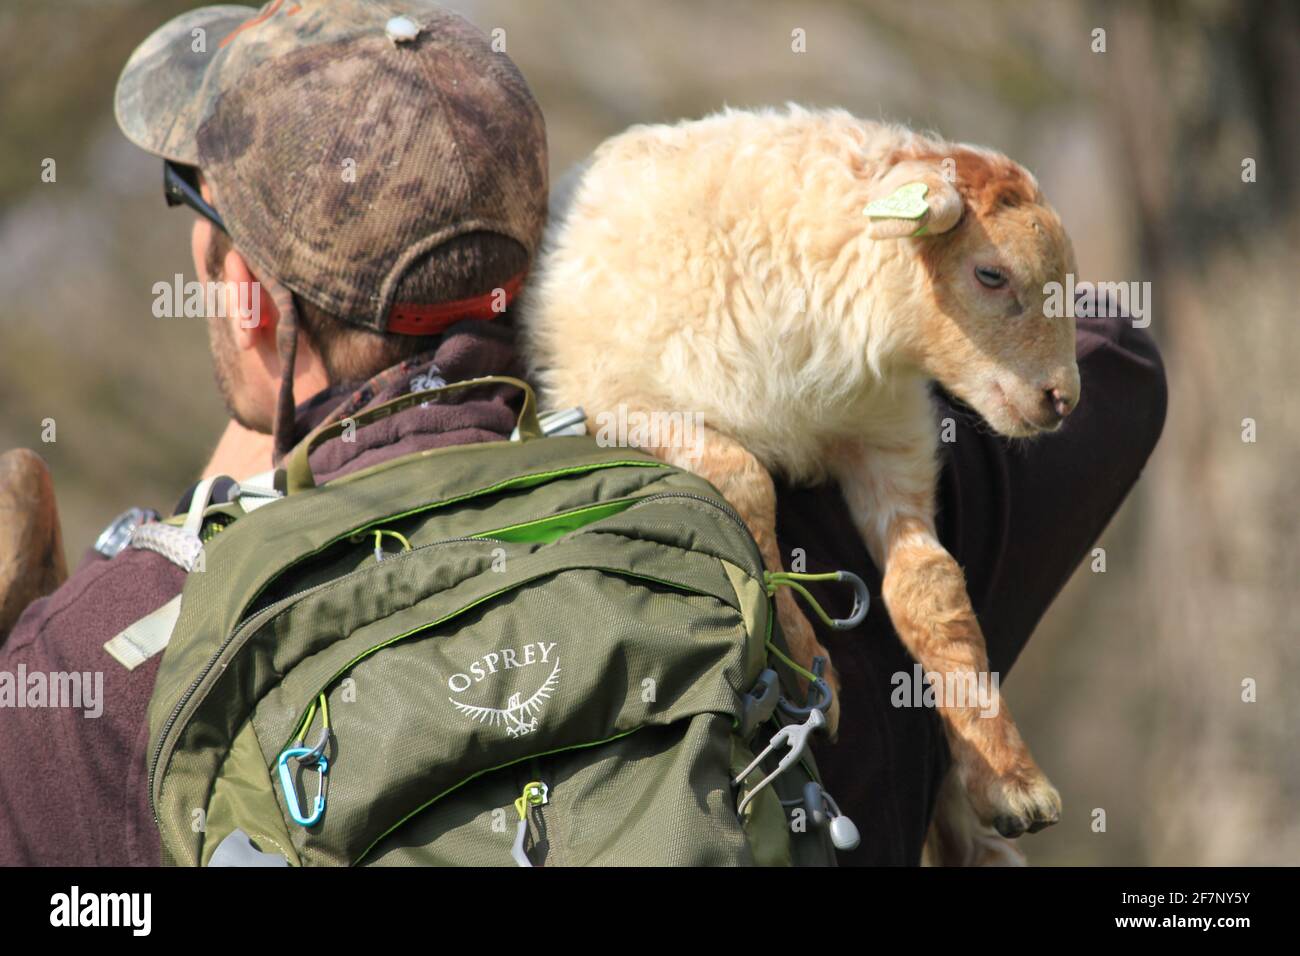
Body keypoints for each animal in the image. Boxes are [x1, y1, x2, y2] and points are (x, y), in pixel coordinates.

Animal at [517, 106, 1076, 853]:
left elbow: (929, 587)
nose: (1063, 399)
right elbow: (747, 483)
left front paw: (1008, 778)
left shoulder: (889, 435)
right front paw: (804, 665)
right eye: (991, 274)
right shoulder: (617, 401)